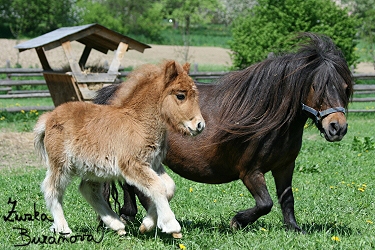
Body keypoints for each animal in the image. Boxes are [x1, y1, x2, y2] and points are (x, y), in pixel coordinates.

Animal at [95, 33, 354, 232]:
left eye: (345, 87)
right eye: (316, 87)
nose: (337, 128)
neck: (267, 117)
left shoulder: (285, 166)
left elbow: (286, 198)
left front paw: (293, 227)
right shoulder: (250, 172)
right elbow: (266, 203)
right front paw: (238, 221)